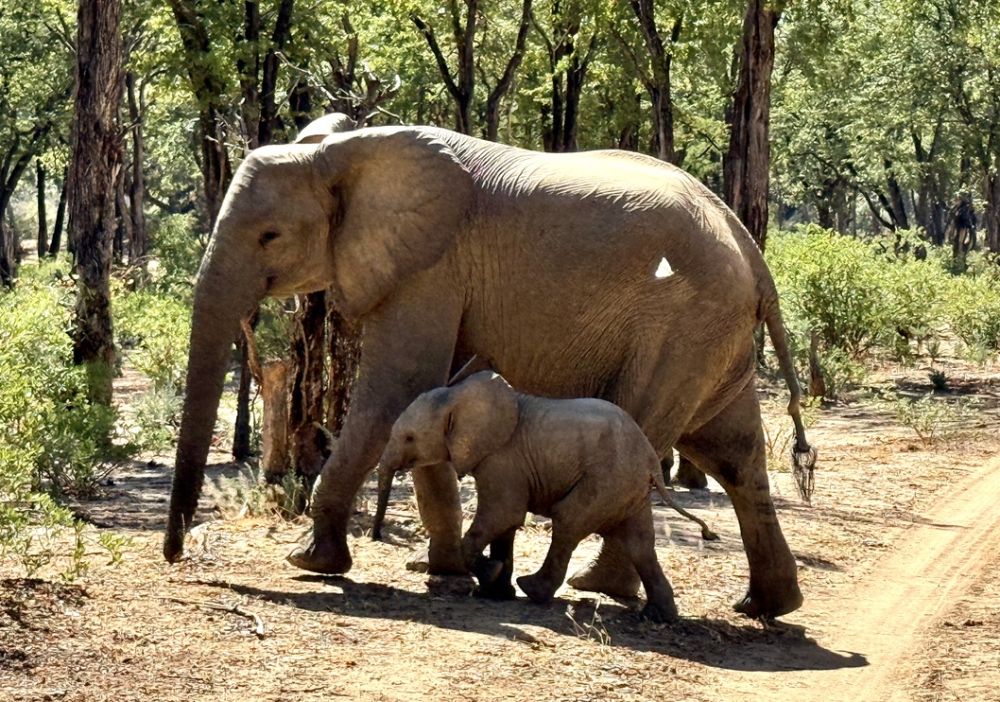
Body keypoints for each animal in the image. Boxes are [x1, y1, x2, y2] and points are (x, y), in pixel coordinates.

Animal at [375, 370, 717, 622]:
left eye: (410, 438)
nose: (377, 536)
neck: (458, 395)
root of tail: (649, 461)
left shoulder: (503, 458)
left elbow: (503, 514)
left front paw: (492, 574)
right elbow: (506, 524)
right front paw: (495, 590)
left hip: (608, 480)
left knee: (569, 520)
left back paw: (533, 590)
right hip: (628, 488)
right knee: (640, 544)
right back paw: (660, 616)